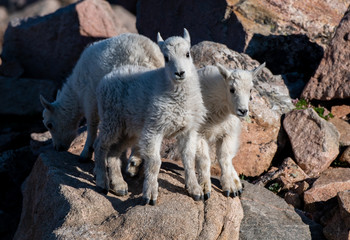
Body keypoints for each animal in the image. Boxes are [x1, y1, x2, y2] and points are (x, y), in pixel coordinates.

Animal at [93, 28, 208, 204]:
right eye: (166, 58)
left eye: (187, 54)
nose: (180, 73)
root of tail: (106, 78)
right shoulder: (155, 128)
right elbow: (154, 162)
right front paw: (150, 195)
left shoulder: (188, 130)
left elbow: (189, 158)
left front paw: (195, 190)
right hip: (111, 120)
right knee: (101, 146)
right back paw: (102, 182)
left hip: (129, 129)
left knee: (114, 152)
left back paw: (119, 185)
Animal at [127, 62, 264, 198]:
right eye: (232, 89)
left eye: (250, 90)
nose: (243, 111)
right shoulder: (198, 133)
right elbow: (204, 160)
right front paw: (204, 188)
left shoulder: (228, 134)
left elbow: (224, 158)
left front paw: (230, 187)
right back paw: (133, 164)